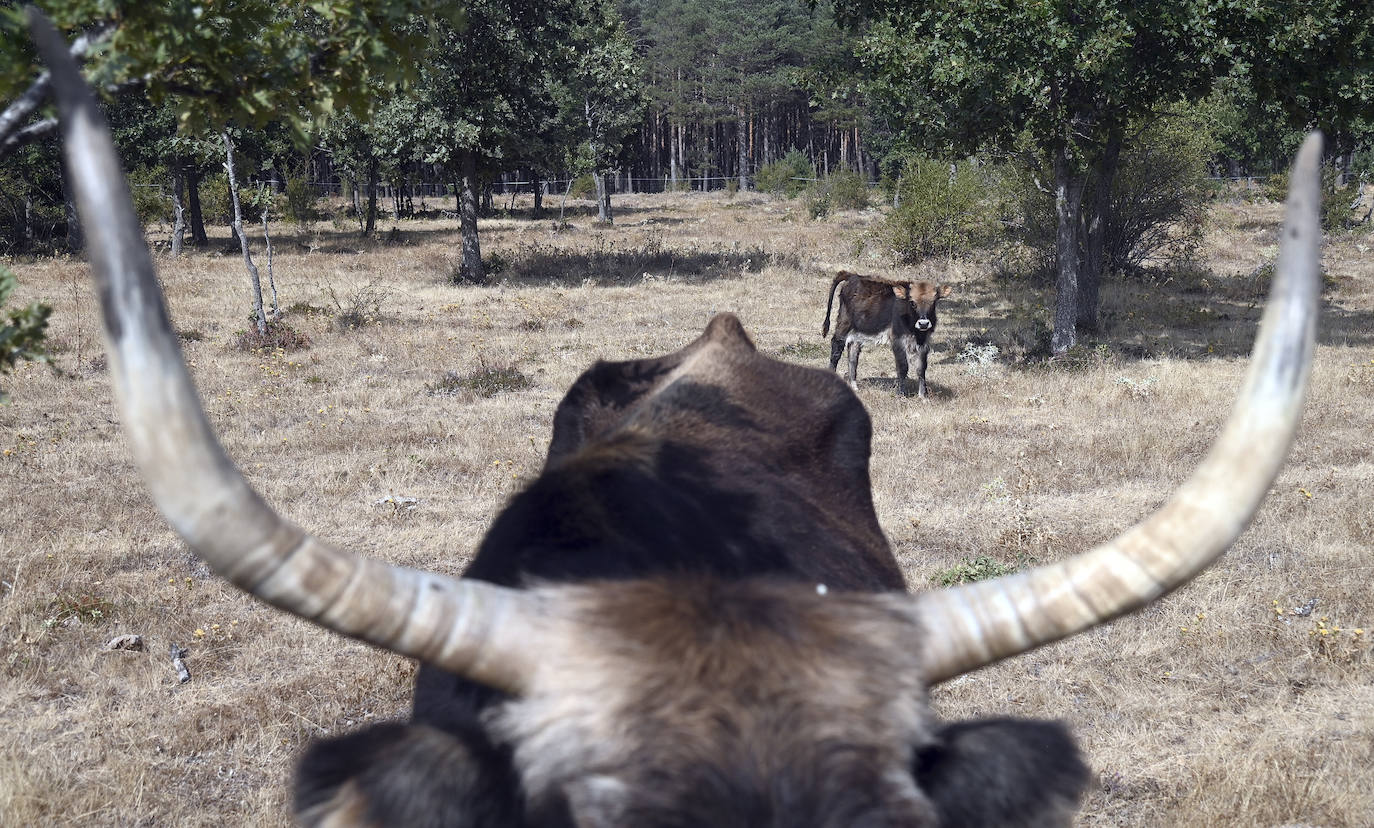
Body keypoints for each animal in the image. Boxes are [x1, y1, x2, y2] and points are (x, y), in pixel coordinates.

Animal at [818, 271, 950, 398]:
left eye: (933, 302)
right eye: (912, 302)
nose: (923, 324)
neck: (916, 332)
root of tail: (853, 276)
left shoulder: (924, 342)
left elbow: (921, 368)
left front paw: (923, 395)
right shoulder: (898, 340)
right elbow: (903, 366)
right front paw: (901, 394)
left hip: (857, 331)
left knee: (853, 354)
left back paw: (854, 386)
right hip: (844, 323)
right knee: (836, 348)